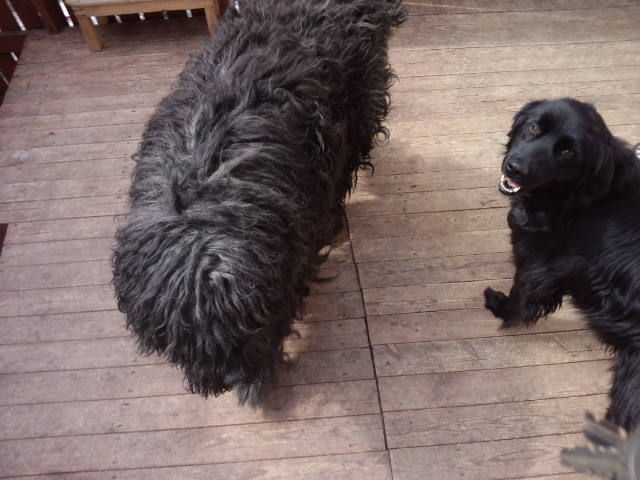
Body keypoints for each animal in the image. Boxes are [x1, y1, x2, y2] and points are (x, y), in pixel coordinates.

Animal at [484, 98, 640, 430]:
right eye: (534, 127)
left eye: (568, 152)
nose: (514, 167)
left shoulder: (538, 262)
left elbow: (521, 295)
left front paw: (500, 307)